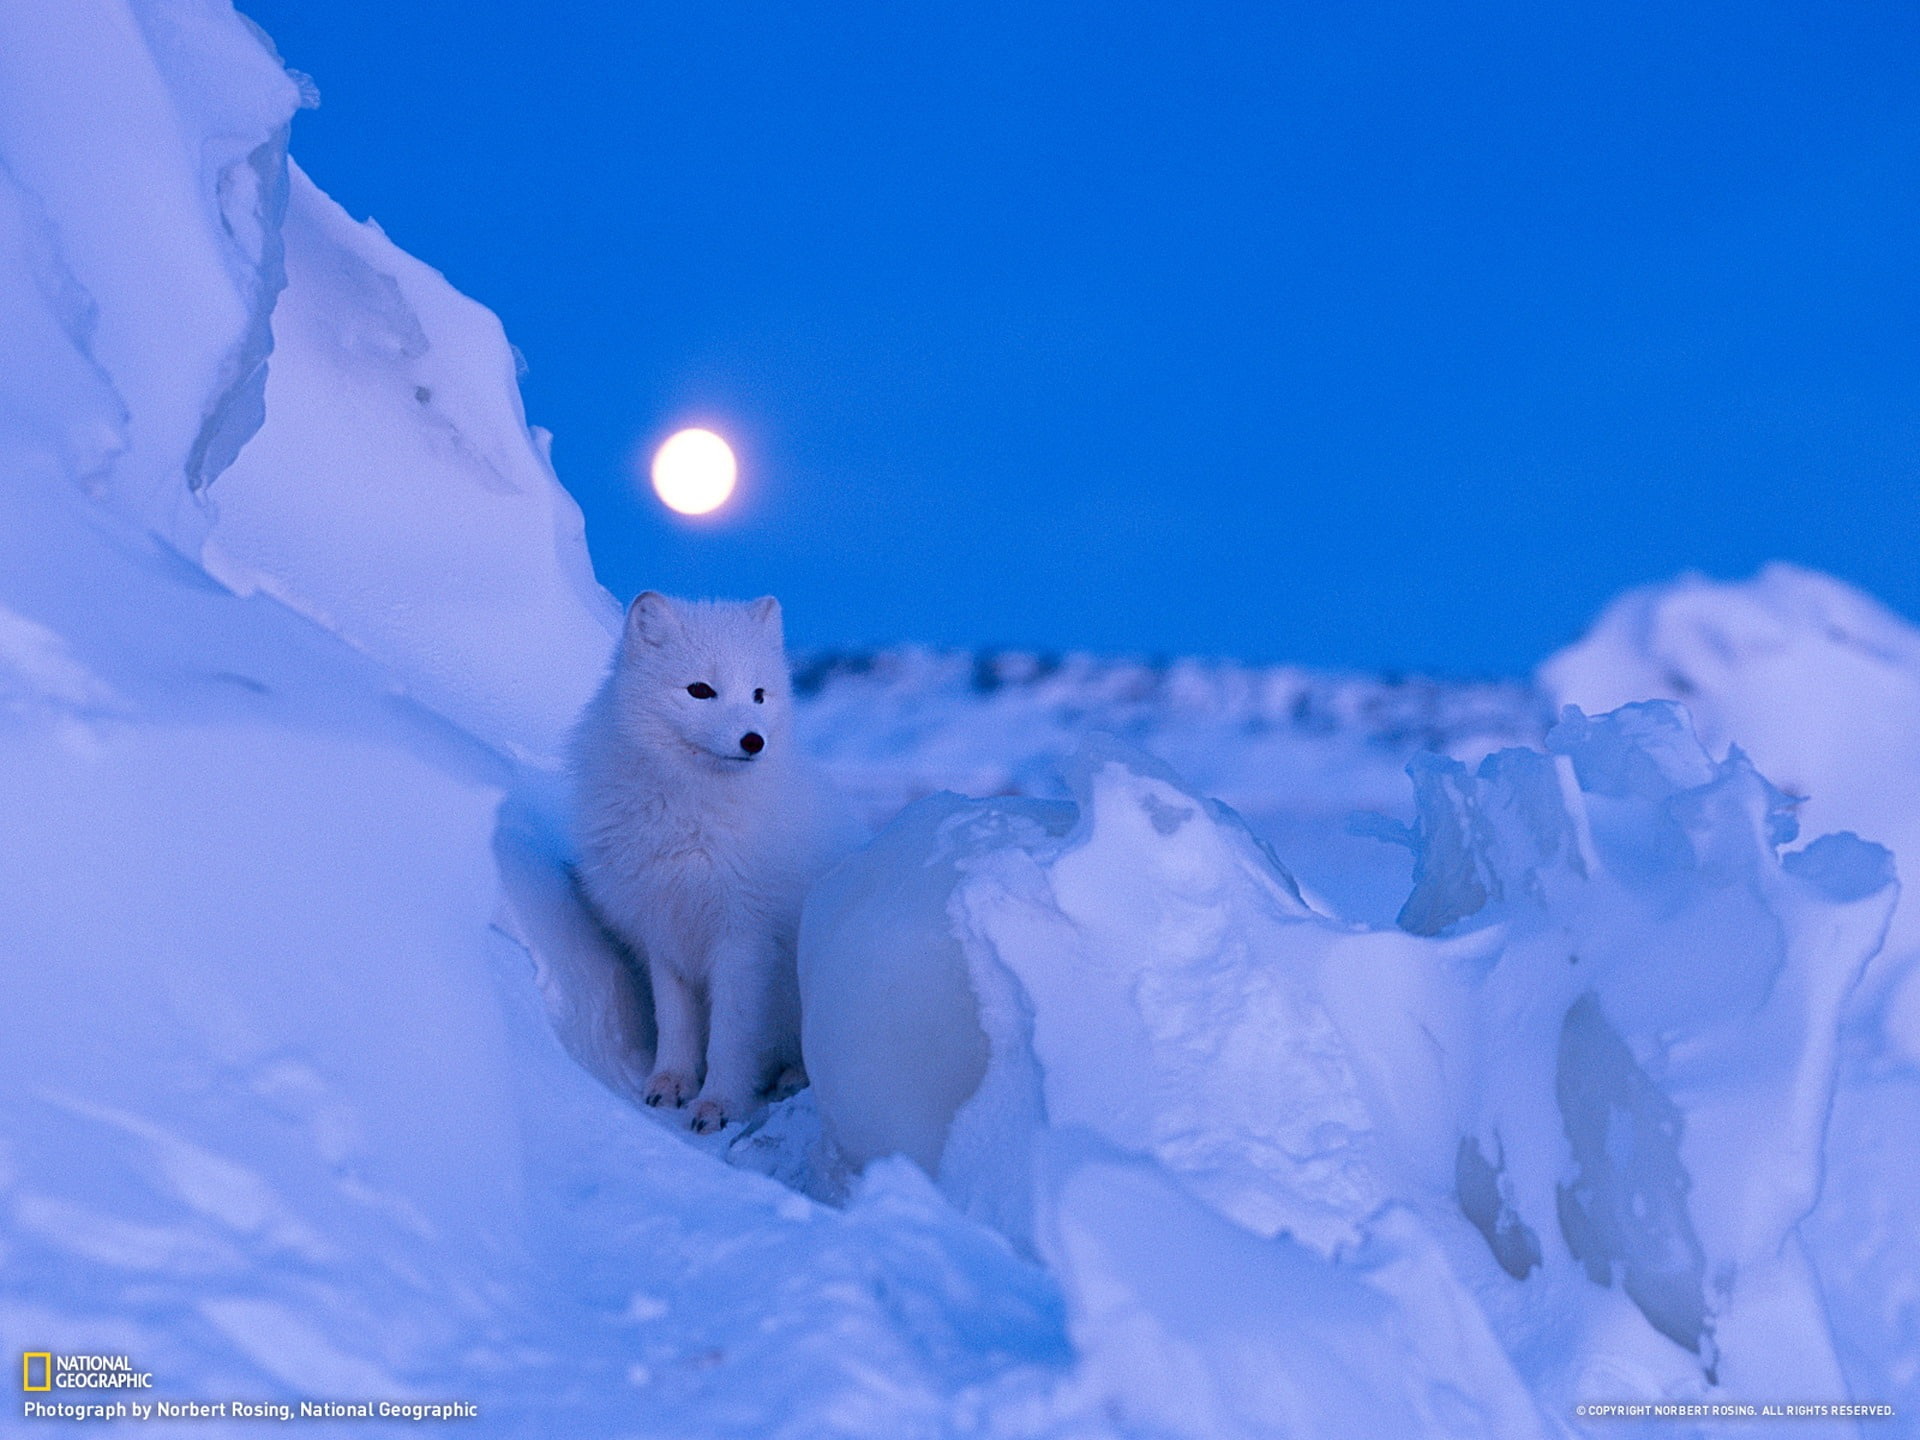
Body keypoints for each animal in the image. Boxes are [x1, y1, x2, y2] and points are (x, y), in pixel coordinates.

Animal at [569, 592, 851, 1133]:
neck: (689, 819)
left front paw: (718, 1103)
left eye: (759, 694)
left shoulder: (743, 937)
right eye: (700, 690)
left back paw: (790, 1077)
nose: (753, 740)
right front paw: (670, 1083)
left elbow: (731, 1035)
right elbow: (674, 1021)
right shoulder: (663, 929)